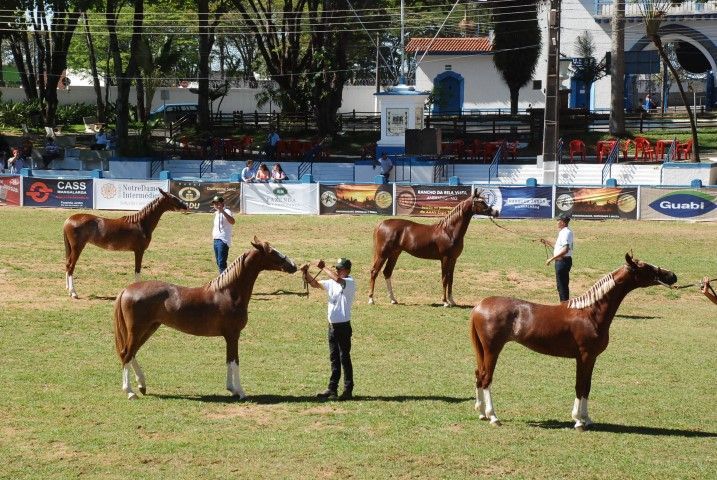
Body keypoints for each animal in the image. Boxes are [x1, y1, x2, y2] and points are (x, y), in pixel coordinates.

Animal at [114, 238, 296, 400]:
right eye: (272, 252)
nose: (293, 265)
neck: (228, 293)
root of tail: (127, 289)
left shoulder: (229, 336)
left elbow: (229, 360)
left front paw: (232, 389)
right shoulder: (233, 335)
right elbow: (235, 361)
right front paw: (240, 392)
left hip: (149, 328)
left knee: (132, 353)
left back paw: (142, 385)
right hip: (137, 330)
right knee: (126, 354)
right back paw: (130, 392)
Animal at [370, 189, 498, 306]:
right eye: (481, 202)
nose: (496, 212)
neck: (449, 231)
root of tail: (381, 224)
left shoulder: (453, 259)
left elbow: (451, 279)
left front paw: (452, 301)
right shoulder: (445, 258)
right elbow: (444, 278)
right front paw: (445, 302)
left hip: (394, 254)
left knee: (387, 272)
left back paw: (393, 299)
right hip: (383, 254)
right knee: (374, 272)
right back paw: (371, 299)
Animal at [468, 253, 676, 430]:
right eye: (644, 266)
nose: (672, 275)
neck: (590, 313)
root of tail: (479, 306)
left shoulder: (590, 358)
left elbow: (587, 386)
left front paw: (586, 418)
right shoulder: (584, 357)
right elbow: (580, 386)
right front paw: (578, 421)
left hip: (483, 351)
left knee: (479, 374)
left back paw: (482, 413)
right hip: (492, 349)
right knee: (486, 378)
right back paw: (493, 416)